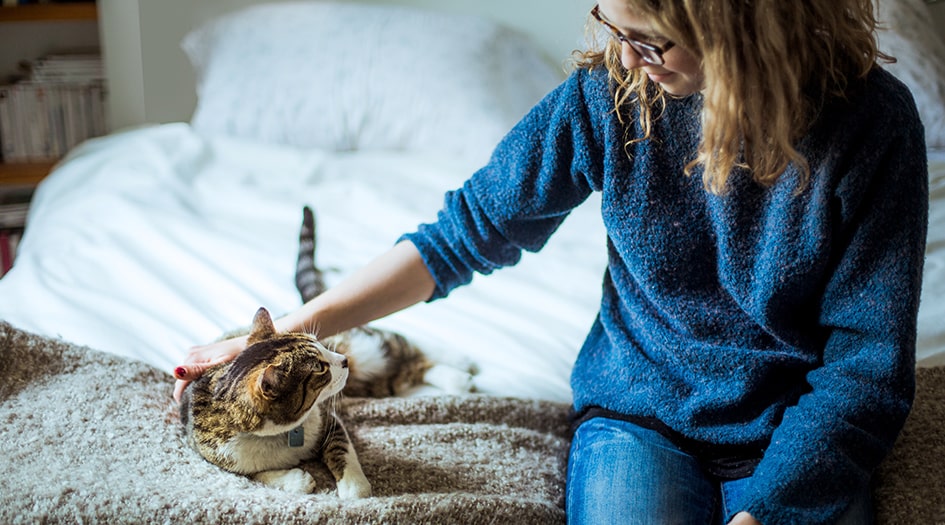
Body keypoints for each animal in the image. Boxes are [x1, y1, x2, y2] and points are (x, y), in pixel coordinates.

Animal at [178, 206, 472, 496]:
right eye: (319, 367)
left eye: (319, 343)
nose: (343, 361)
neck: (283, 434)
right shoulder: (216, 456)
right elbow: (255, 475)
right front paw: (296, 480)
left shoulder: (329, 420)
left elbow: (341, 447)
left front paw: (354, 486)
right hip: (368, 382)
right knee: (406, 372)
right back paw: (452, 376)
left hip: (366, 350)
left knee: (402, 345)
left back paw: (458, 365)